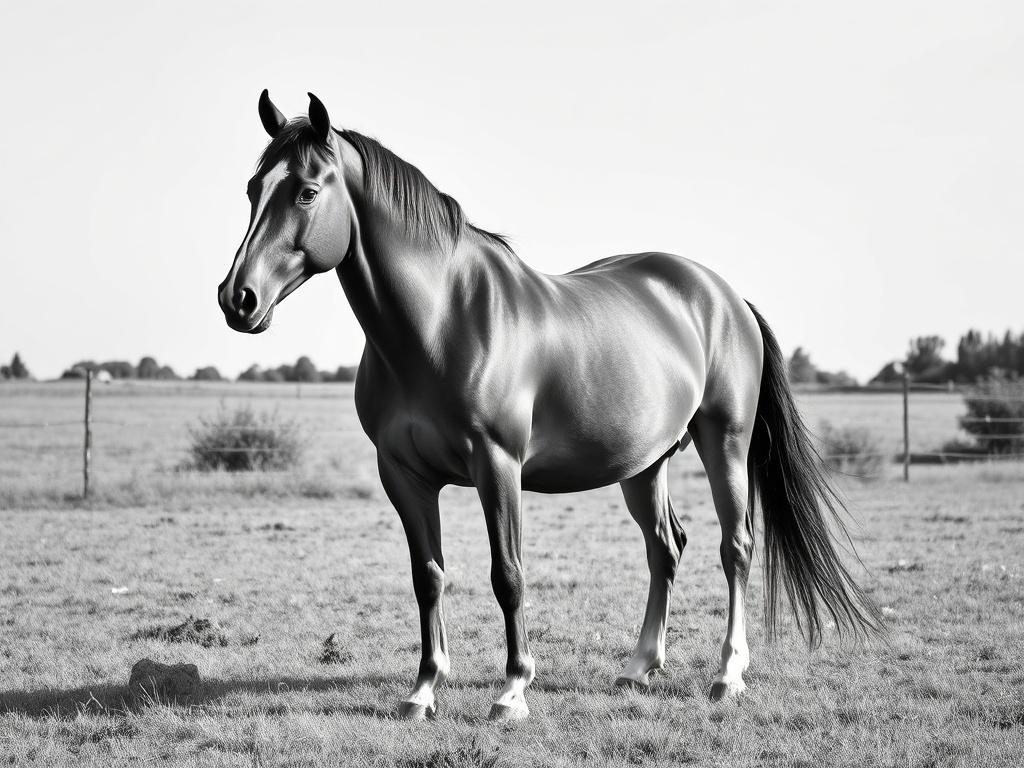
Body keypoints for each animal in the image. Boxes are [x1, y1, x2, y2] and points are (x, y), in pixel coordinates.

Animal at [218, 90, 882, 721]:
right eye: (253, 189)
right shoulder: (402, 475)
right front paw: (424, 690)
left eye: (307, 192)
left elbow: (507, 575)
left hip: (726, 442)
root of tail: (724, 295)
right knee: (665, 548)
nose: (237, 299)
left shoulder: (498, 466)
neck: (442, 321)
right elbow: (427, 577)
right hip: (645, 464)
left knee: (735, 547)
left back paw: (728, 675)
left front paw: (513, 690)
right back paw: (638, 667)